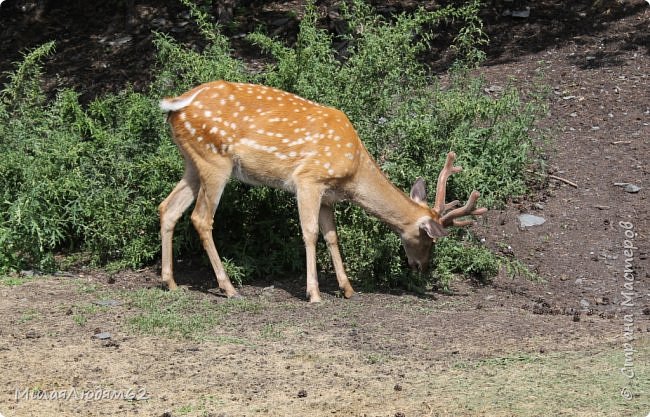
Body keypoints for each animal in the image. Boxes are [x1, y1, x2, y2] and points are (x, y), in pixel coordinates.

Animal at [159, 80, 486, 302]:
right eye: (428, 238)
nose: (422, 267)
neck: (353, 173)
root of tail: (176, 104)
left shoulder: (329, 196)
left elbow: (332, 236)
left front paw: (348, 288)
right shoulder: (309, 180)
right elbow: (309, 232)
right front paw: (313, 293)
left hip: (193, 162)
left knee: (168, 207)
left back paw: (170, 283)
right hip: (215, 160)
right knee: (201, 218)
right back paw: (228, 288)